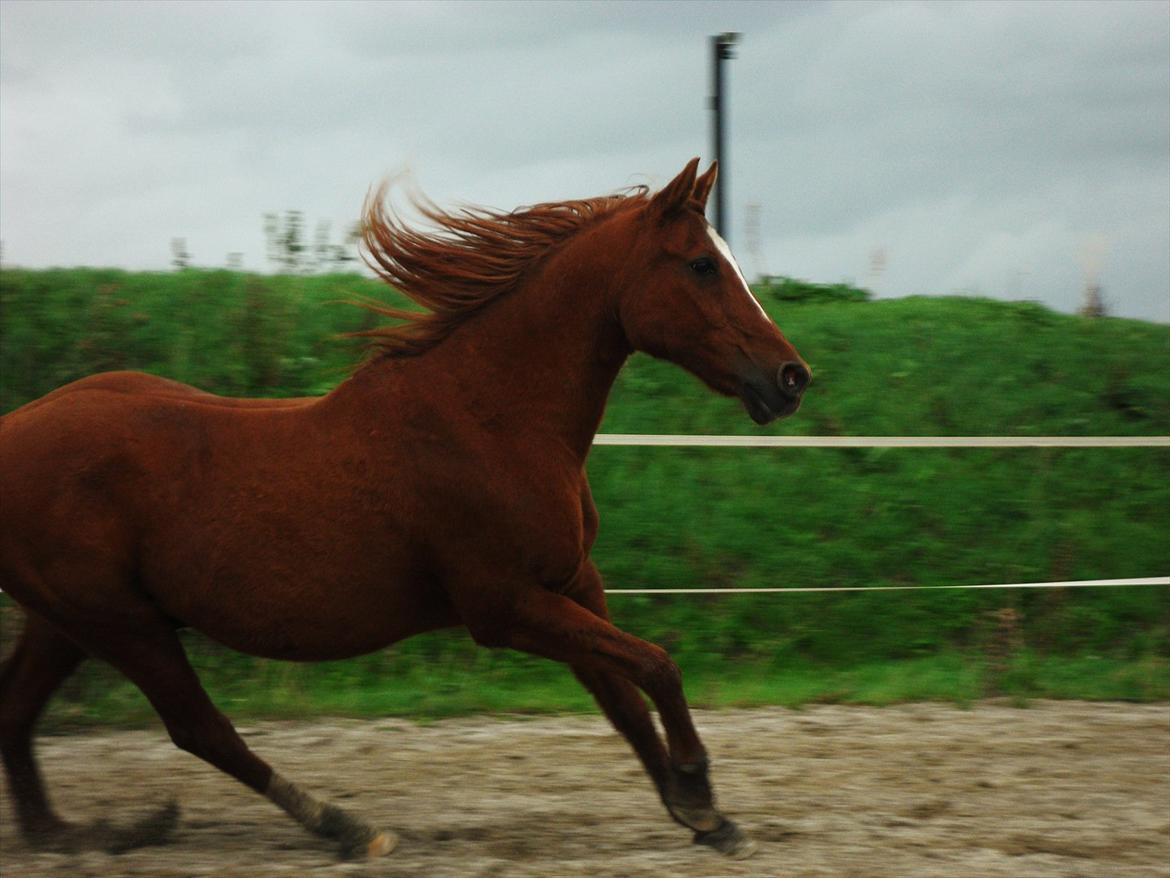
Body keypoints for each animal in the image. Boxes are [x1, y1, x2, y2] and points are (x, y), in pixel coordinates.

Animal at [0, 158, 804, 861]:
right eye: (701, 264)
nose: (791, 377)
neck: (491, 417)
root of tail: (13, 429)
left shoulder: (574, 583)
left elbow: (624, 700)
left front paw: (703, 817)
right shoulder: (505, 607)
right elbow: (657, 667)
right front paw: (699, 794)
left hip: (68, 622)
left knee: (20, 711)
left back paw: (78, 834)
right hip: (122, 624)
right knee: (200, 728)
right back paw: (344, 828)